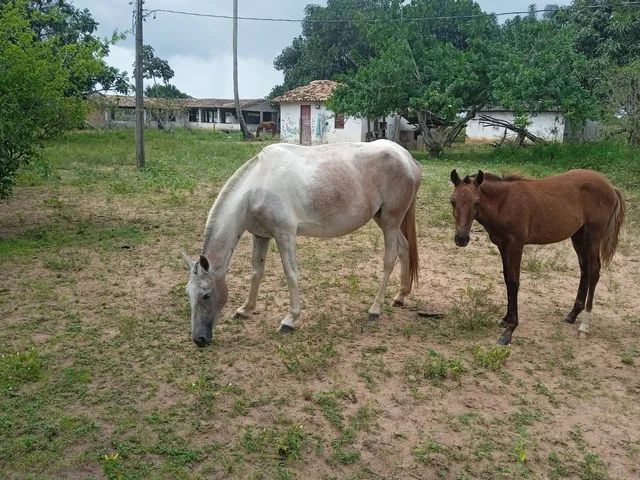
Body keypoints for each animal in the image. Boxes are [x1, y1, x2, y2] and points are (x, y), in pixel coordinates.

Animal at [180, 138, 422, 344]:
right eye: (188, 294)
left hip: (391, 220)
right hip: (383, 219)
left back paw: (375, 308)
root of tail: (408, 159)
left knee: (389, 259)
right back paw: (400, 296)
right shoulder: (261, 235)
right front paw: (245, 309)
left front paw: (290, 320)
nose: (199, 340)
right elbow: (256, 272)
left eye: (206, 295)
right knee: (404, 249)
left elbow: (291, 274)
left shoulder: (284, 234)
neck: (258, 184)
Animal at [450, 170, 624, 344]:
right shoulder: (502, 245)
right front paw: (506, 319)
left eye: (476, 202)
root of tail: (611, 187)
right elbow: (507, 279)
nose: (461, 239)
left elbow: (514, 282)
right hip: (578, 235)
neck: (504, 203)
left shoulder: (516, 244)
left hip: (594, 235)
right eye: (452, 201)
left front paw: (510, 330)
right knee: (584, 269)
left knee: (594, 271)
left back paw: (584, 326)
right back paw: (573, 314)